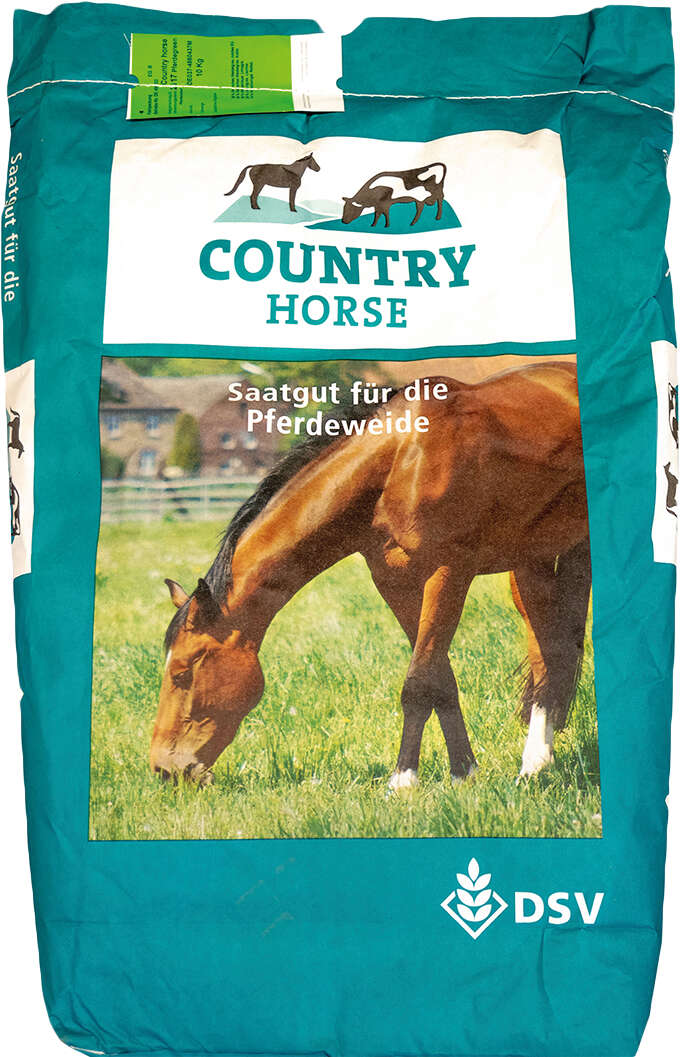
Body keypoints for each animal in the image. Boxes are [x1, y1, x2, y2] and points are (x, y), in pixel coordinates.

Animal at [150, 362, 592, 791]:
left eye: (182, 673)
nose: (164, 768)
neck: (399, 462)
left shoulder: (449, 572)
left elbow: (419, 682)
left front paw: (403, 781)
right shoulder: (395, 583)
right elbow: (440, 679)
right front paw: (464, 772)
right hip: (530, 563)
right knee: (546, 653)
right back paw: (536, 763)